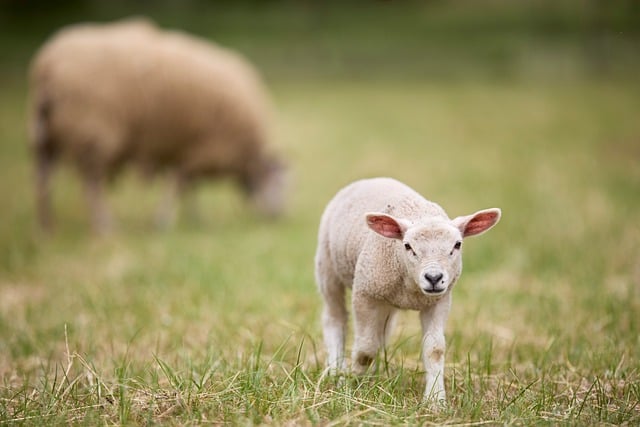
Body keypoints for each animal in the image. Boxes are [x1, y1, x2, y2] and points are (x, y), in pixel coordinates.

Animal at [28, 18, 286, 233]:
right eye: (281, 183)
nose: (280, 216)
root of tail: (49, 64)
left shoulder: (185, 150)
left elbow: (187, 187)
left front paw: (193, 218)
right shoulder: (200, 150)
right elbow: (180, 185)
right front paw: (165, 221)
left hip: (46, 136)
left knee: (43, 180)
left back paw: (46, 228)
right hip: (93, 136)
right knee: (91, 186)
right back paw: (105, 226)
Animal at [314, 177, 501, 404]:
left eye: (457, 245)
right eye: (407, 246)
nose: (433, 278)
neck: (411, 289)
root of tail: (371, 179)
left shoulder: (439, 301)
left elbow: (434, 349)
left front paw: (435, 400)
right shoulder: (364, 293)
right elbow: (366, 348)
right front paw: (352, 381)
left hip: (386, 301)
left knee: (382, 333)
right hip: (327, 267)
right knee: (335, 318)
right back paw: (336, 370)